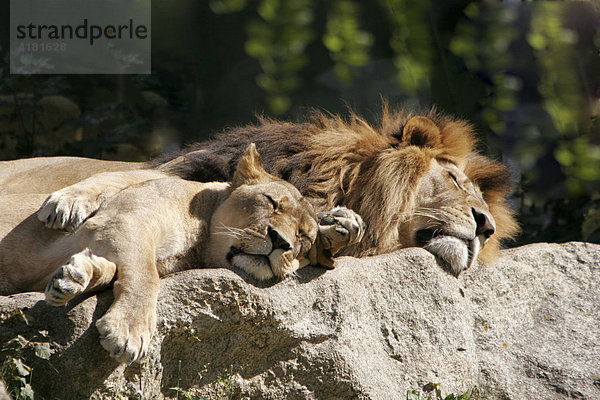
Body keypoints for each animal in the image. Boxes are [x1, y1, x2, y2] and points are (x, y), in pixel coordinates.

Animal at [0, 144, 364, 362]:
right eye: (272, 202)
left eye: (303, 238)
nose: (280, 241)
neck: (198, 245)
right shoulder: (123, 220)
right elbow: (145, 277)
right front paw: (129, 331)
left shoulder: (114, 230)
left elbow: (118, 271)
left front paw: (75, 277)